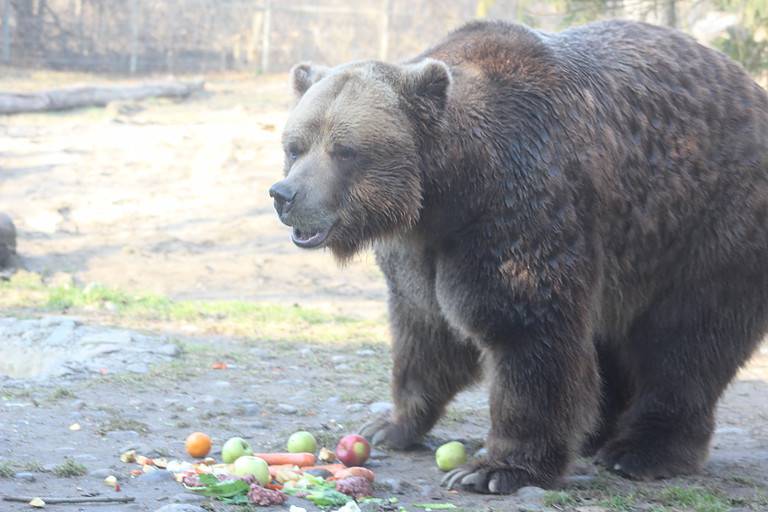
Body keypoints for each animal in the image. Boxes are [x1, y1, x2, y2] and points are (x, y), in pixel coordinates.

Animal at [269, 19, 768, 494]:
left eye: (344, 149)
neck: (447, 192)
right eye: (295, 146)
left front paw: (494, 469)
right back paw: (595, 434)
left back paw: (642, 450)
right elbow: (424, 331)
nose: (285, 194)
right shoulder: (420, 250)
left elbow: (525, 333)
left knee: (686, 341)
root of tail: (748, 86)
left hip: (707, 225)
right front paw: (390, 425)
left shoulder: (518, 212)